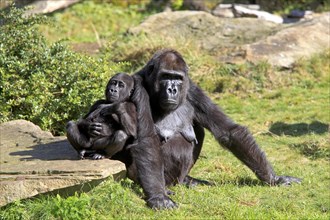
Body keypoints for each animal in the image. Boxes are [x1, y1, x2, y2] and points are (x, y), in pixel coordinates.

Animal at [111, 49, 302, 209]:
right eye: (165, 76)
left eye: (178, 78)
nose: (172, 89)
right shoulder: (138, 87)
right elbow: (147, 141)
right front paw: (158, 197)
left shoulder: (192, 89)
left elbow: (229, 131)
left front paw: (274, 179)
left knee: (199, 130)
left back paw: (187, 181)